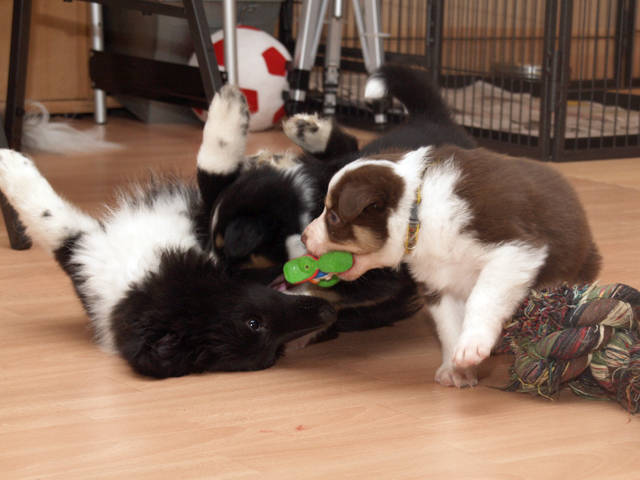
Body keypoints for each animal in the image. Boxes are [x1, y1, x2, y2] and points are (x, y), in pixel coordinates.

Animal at [0, 86, 337, 379]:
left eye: (268, 339)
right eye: (255, 324)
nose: (328, 312)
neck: (147, 269)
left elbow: (212, 174)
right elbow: (213, 176)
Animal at [302, 140, 601, 387]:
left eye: (333, 217)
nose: (304, 236)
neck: (418, 213)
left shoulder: (515, 251)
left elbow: (483, 299)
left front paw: (472, 347)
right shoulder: (438, 282)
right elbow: (447, 326)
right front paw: (456, 369)